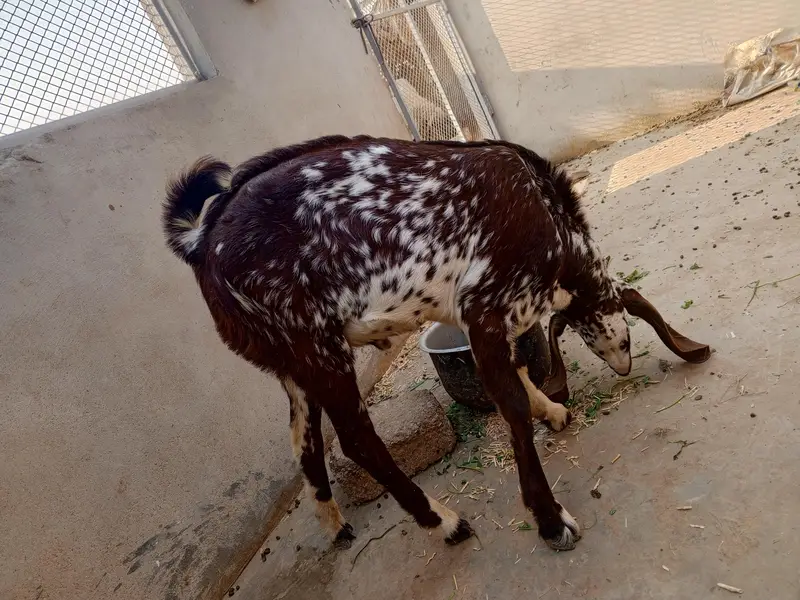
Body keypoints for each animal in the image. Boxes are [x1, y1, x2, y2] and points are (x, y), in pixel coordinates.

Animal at [162, 135, 710, 551]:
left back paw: (336, 527)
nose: (623, 364)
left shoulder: (487, 320)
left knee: (304, 445)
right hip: (318, 347)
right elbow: (510, 404)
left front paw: (552, 412)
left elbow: (519, 368)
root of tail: (200, 243)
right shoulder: (483, 307)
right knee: (358, 441)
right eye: (631, 332)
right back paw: (446, 522)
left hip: (290, 364)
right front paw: (550, 519)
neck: (548, 217)